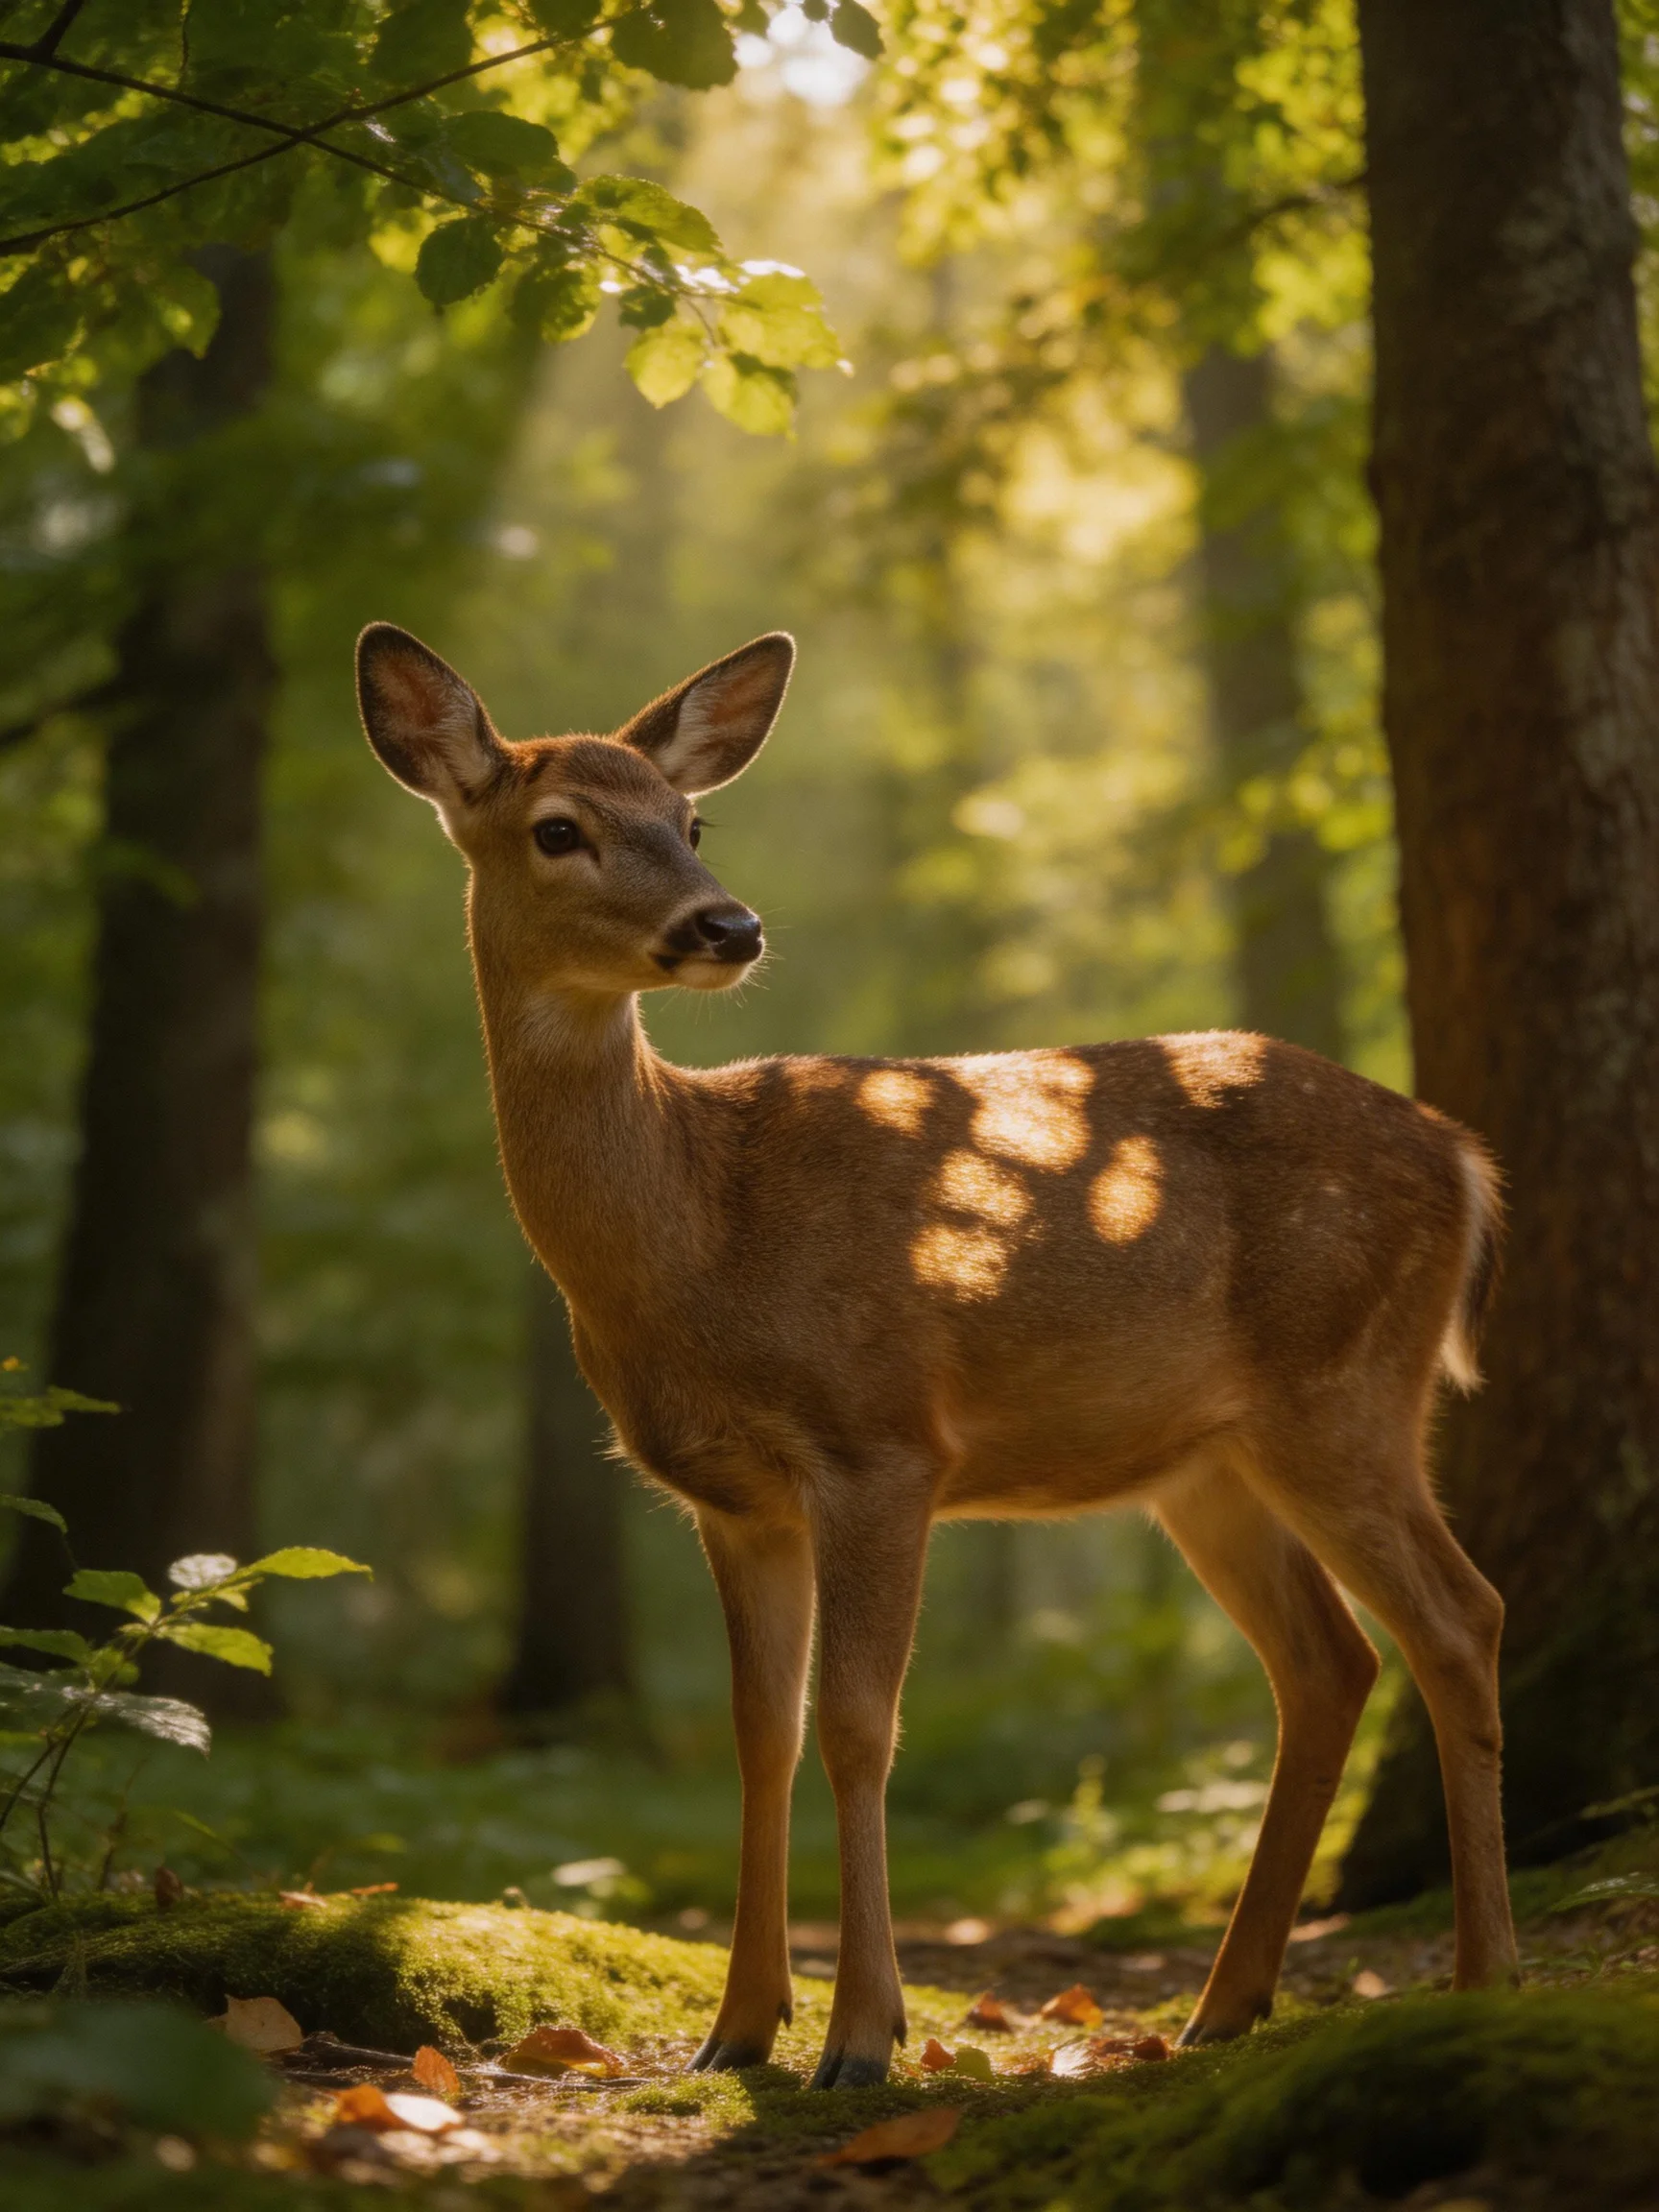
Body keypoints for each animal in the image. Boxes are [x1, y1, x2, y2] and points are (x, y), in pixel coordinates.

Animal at [355, 620, 1518, 2088]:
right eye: (559, 828)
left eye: (691, 819)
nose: (728, 926)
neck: (697, 1229)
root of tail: (1466, 1160)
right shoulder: (731, 1500)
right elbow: (759, 1734)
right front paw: (737, 2031)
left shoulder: (882, 1441)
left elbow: (859, 1725)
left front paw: (864, 2035)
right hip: (1210, 1461)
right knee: (1329, 1662)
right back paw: (1225, 2003)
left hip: (1347, 1389)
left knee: (1458, 1617)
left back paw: (1484, 1974)